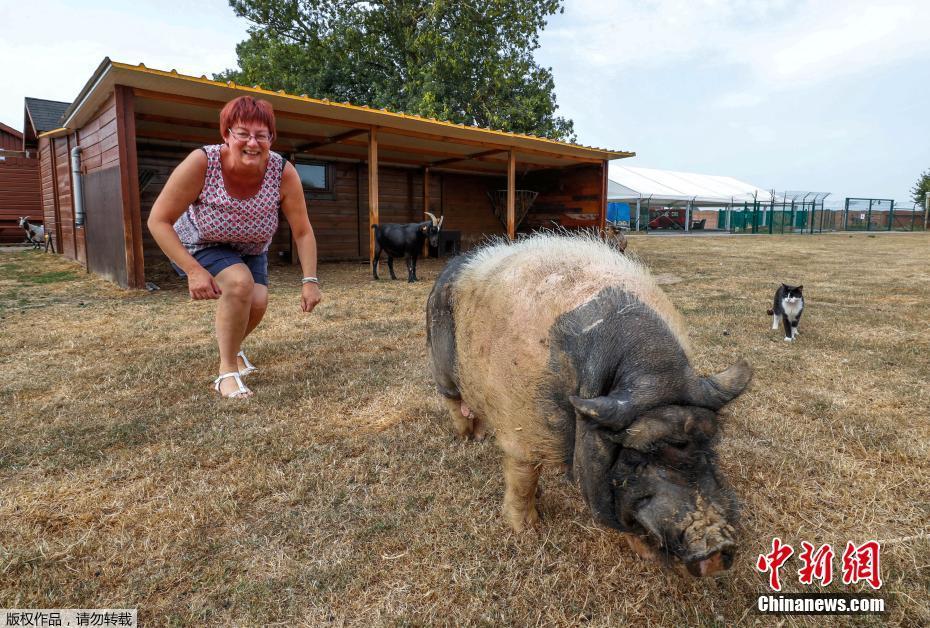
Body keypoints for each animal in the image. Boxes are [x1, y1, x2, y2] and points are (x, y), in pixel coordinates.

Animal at [424, 233, 752, 576]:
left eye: (708, 445)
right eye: (635, 458)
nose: (716, 546)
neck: (651, 372)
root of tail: (454, 264)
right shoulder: (524, 429)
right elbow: (522, 477)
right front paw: (527, 529)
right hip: (440, 358)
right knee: (452, 400)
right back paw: (468, 439)